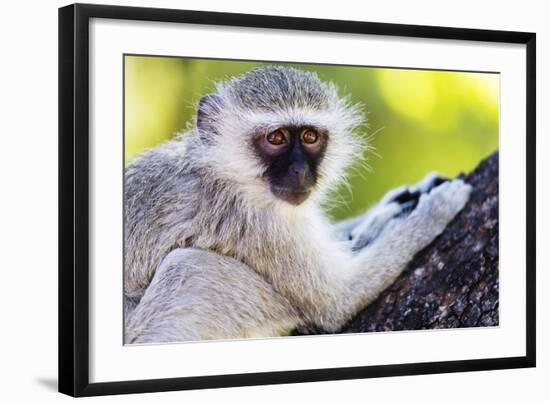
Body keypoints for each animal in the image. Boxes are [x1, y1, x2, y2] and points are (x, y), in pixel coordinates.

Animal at [124, 66, 470, 344]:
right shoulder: (255, 220)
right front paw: (435, 210)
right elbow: (337, 300)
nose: (300, 171)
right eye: (276, 138)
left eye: (309, 136)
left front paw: (398, 202)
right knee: (191, 264)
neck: (225, 170)